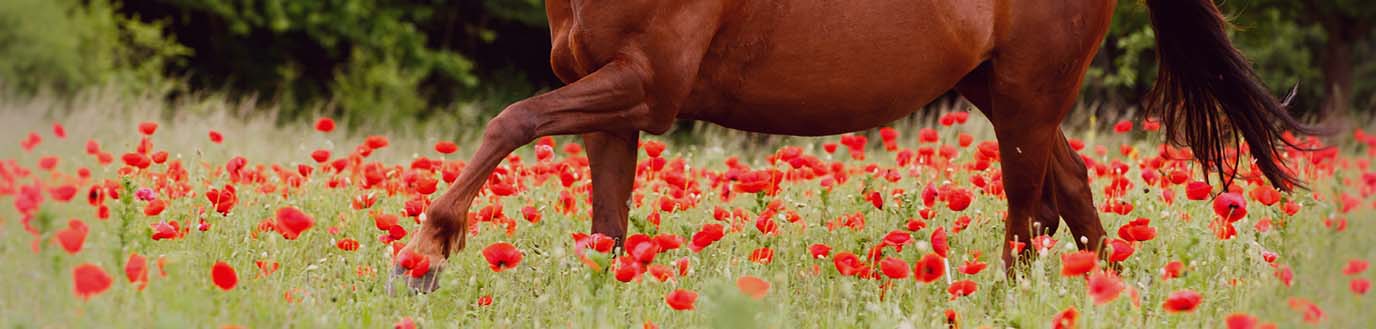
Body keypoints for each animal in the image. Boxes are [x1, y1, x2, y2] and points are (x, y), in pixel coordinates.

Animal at [390, 0, 1309, 293]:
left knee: (1025, 216)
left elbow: (509, 120)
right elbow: (608, 234)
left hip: (1025, 97)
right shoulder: (616, 112)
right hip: (1003, 93)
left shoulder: (645, 87)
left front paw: (424, 253)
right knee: (1072, 190)